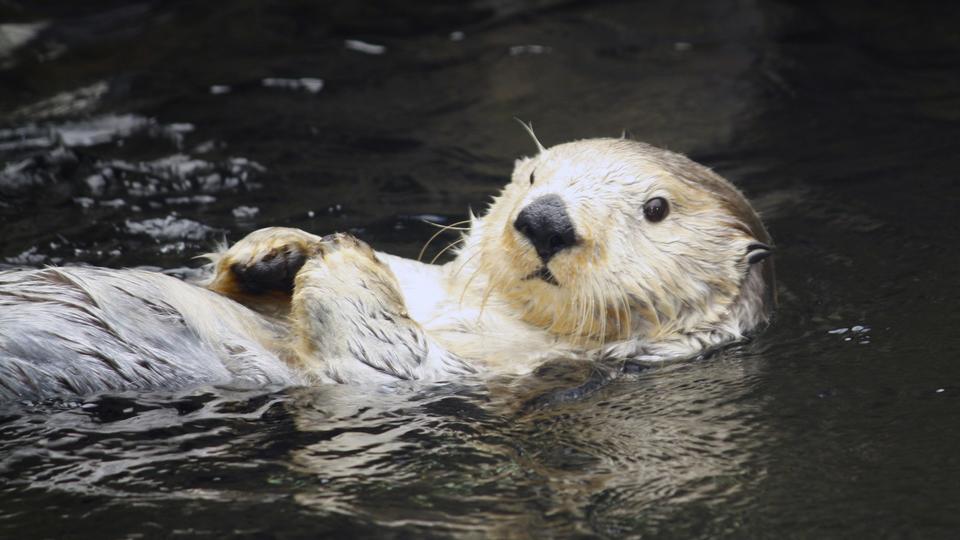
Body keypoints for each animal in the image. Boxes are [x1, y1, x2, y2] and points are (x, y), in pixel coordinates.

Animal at [0, 137, 772, 398]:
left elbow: (379, 356)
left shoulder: (473, 373)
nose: (546, 219)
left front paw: (340, 260)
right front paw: (274, 247)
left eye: (656, 208)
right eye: (534, 177)